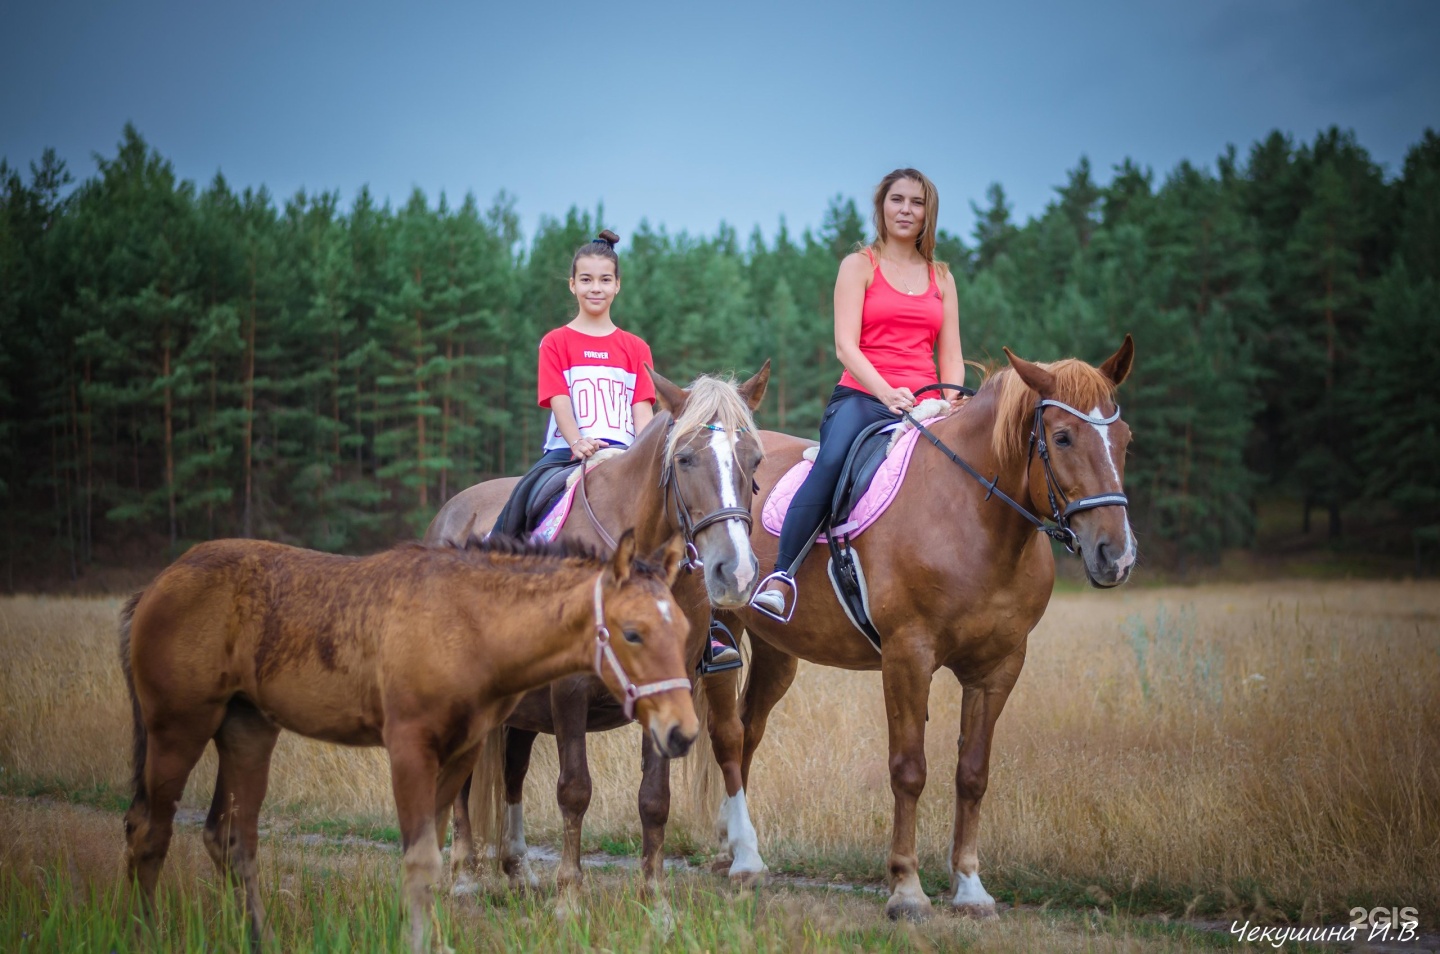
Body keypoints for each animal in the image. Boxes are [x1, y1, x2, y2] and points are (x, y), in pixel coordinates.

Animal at [120, 530, 694, 954]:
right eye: (632, 632)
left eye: (686, 630)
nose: (681, 732)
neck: (467, 623)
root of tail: (155, 586)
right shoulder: (409, 747)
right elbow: (420, 861)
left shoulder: (460, 753)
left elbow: (432, 861)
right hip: (177, 726)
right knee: (149, 831)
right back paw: (144, 933)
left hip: (247, 731)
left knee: (231, 838)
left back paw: (257, 939)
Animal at [420, 364, 771, 910]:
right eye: (685, 458)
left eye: (753, 459)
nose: (734, 571)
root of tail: (448, 514)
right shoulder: (569, 691)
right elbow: (574, 789)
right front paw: (569, 896)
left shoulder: (666, 689)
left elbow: (654, 799)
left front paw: (655, 899)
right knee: (464, 779)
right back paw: (463, 876)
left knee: (514, 769)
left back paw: (518, 869)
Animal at [699, 340, 1134, 922]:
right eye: (1062, 437)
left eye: (1125, 439)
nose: (1116, 556)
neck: (971, 516)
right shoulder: (908, 656)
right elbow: (909, 768)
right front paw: (907, 889)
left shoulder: (999, 668)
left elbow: (972, 773)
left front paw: (970, 889)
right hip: (723, 630)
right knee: (726, 734)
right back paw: (740, 858)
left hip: (775, 651)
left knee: (748, 731)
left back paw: (735, 849)